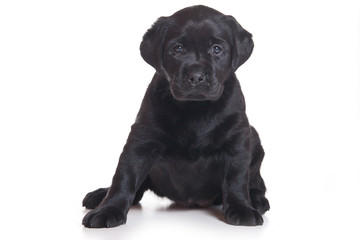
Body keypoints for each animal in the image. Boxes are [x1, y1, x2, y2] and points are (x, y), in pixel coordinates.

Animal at [81, 4, 268, 228]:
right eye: (178, 49)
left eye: (217, 49)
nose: (196, 76)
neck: (195, 109)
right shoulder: (141, 140)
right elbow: (124, 176)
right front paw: (108, 209)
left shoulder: (237, 138)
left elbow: (237, 177)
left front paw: (241, 207)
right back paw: (100, 195)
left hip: (254, 137)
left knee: (256, 182)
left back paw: (257, 200)